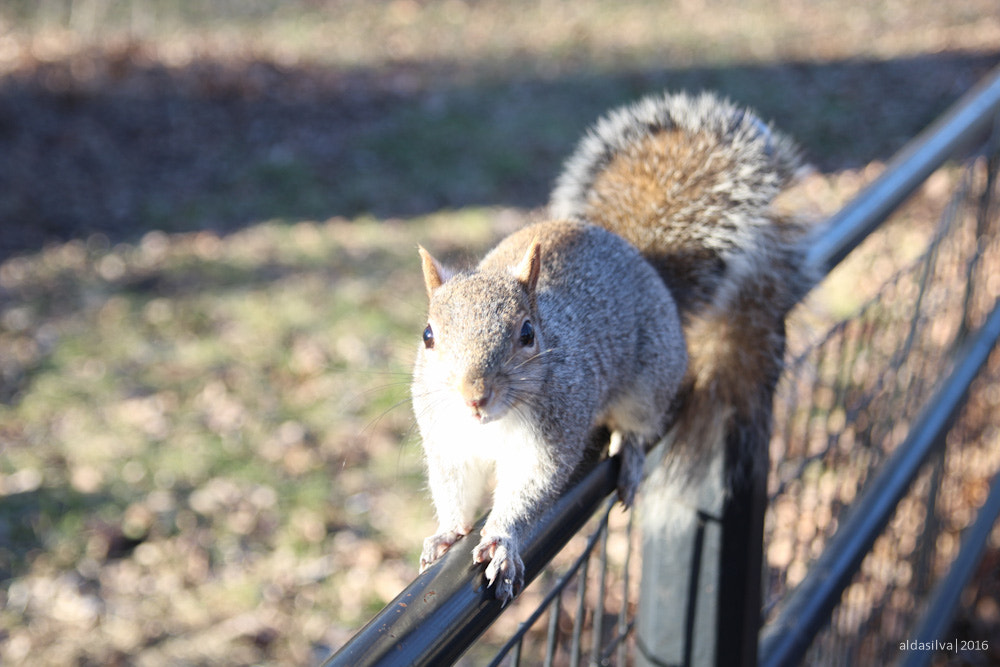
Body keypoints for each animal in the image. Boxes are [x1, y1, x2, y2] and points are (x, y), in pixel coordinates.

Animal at [411, 91, 813, 603]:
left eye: (527, 334)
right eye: (428, 336)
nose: (473, 397)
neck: (489, 426)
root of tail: (643, 262)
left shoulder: (553, 435)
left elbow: (530, 489)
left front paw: (502, 540)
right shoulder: (447, 440)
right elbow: (454, 489)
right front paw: (448, 533)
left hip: (649, 383)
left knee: (642, 423)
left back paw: (631, 451)